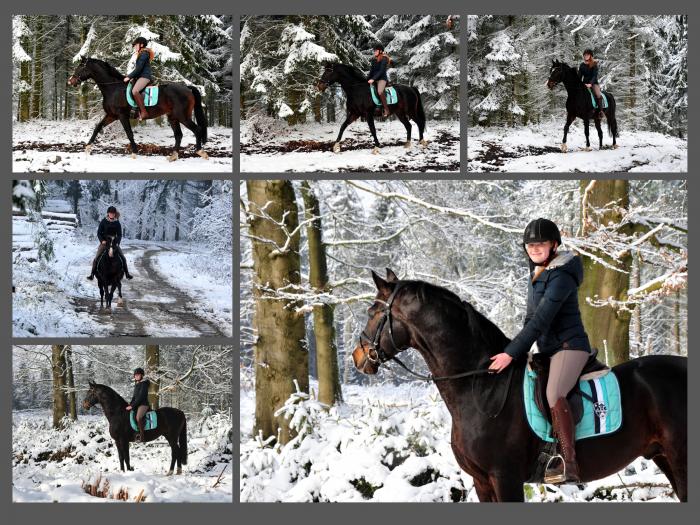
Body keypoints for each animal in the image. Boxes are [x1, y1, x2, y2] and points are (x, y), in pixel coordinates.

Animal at [68, 56, 208, 161]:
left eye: (81, 66)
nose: (70, 81)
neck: (113, 88)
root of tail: (187, 88)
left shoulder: (122, 115)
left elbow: (129, 133)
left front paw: (134, 153)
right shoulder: (111, 115)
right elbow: (97, 128)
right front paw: (87, 148)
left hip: (183, 116)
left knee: (197, 129)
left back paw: (201, 152)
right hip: (173, 117)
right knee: (178, 135)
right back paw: (173, 156)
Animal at [352, 268, 688, 502]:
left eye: (372, 312)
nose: (358, 356)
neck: (482, 386)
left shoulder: (505, 477)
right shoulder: (482, 481)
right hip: (663, 457)